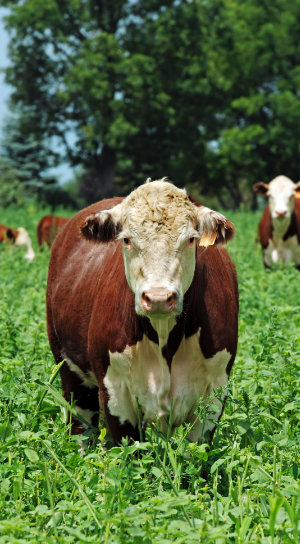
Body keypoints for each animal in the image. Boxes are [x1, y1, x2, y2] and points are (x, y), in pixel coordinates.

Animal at [46, 181, 239, 444]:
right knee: (80, 428)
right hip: (69, 372)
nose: (158, 298)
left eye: (191, 239)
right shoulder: (115, 391)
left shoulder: (215, 390)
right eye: (126, 239)